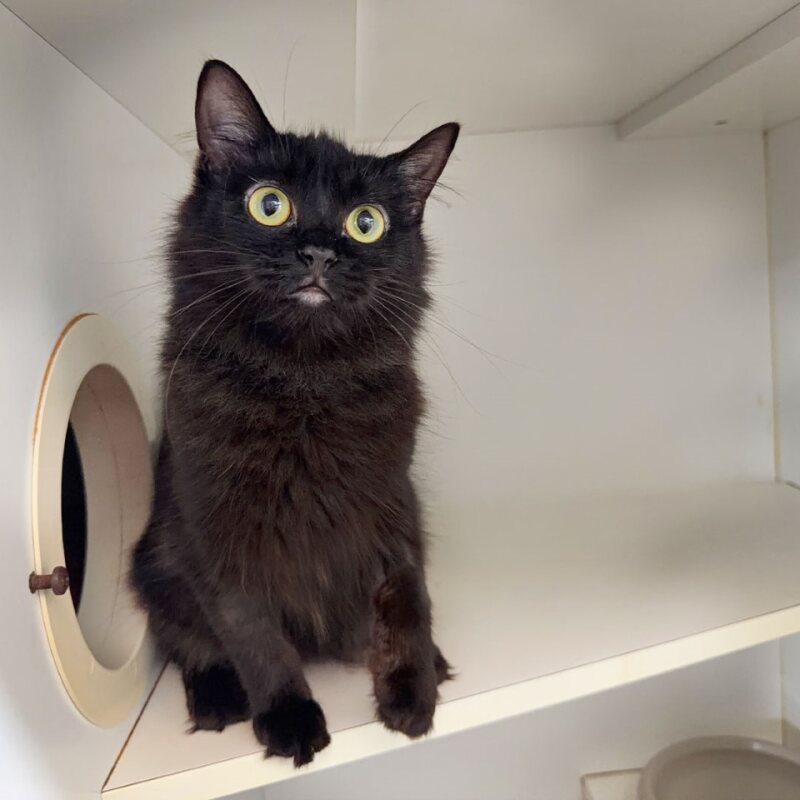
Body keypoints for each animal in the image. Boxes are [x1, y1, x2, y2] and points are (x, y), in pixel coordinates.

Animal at [131, 59, 459, 766]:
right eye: (270, 204)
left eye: (366, 222)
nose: (318, 253)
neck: (305, 384)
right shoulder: (215, 529)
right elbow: (252, 633)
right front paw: (287, 716)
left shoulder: (390, 505)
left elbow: (408, 600)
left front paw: (412, 689)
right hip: (157, 559)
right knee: (186, 639)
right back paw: (218, 697)